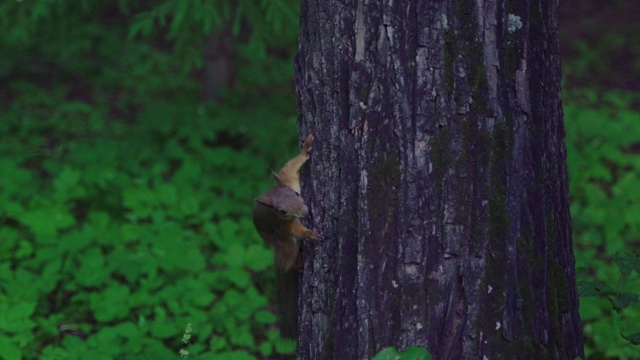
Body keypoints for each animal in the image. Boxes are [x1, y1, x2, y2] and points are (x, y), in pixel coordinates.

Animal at [250, 134, 320, 338]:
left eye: (297, 193)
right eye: (282, 212)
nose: (304, 212)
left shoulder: (286, 179)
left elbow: (290, 167)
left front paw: (305, 149)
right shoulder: (283, 224)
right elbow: (295, 230)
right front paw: (308, 233)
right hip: (282, 243)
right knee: (287, 255)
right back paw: (295, 265)